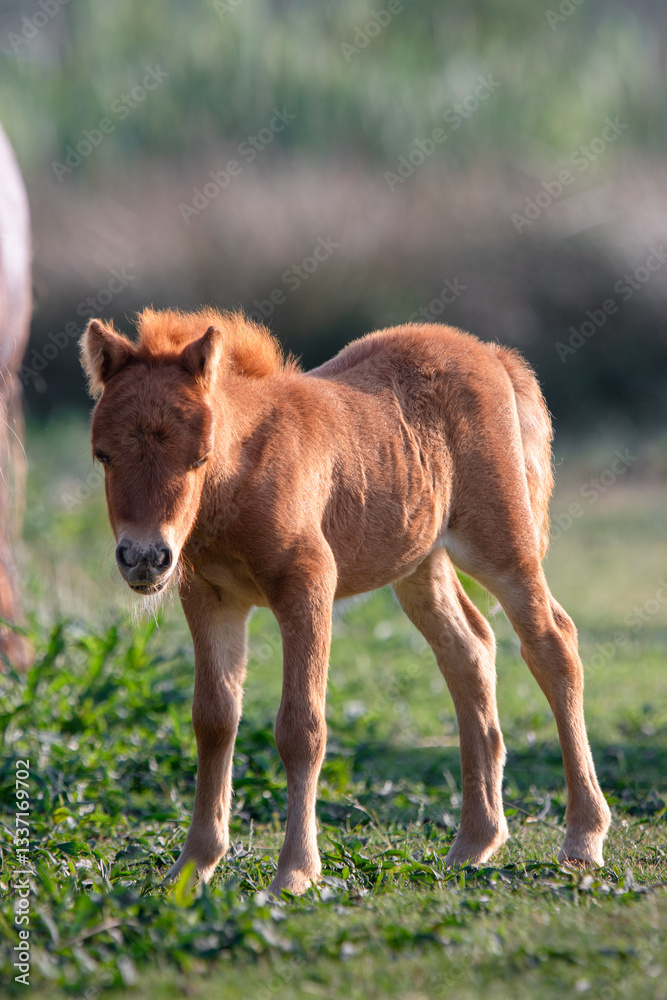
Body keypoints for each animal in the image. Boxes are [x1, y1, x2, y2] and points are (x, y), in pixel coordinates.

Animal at [81, 306, 611, 896]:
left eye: (199, 457)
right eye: (103, 455)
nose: (145, 558)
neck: (243, 473)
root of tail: (492, 354)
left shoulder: (308, 582)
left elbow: (301, 727)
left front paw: (294, 873)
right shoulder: (209, 597)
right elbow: (214, 720)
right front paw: (193, 866)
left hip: (501, 546)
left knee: (552, 643)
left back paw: (582, 839)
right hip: (419, 561)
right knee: (469, 650)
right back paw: (474, 843)